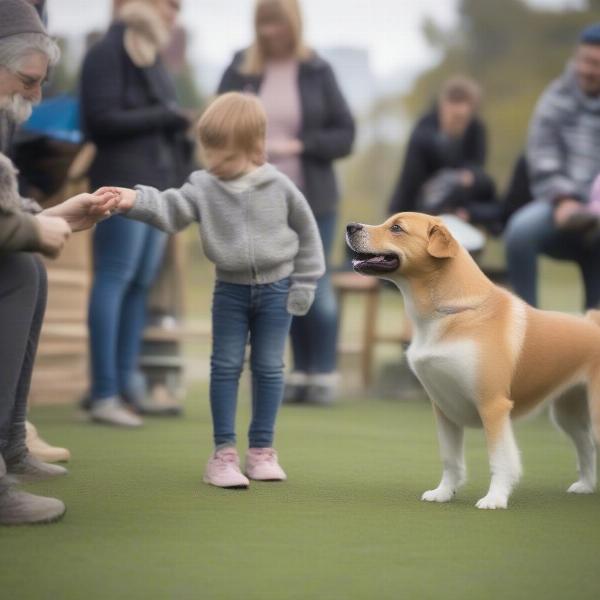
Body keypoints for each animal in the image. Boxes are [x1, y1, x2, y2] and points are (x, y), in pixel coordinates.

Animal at [344, 213, 596, 508]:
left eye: (397, 228)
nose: (350, 227)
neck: (449, 314)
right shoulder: (443, 407)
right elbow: (450, 459)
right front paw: (443, 493)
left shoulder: (493, 405)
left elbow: (500, 459)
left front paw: (495, 499)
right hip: (569, 413)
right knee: (586, 446)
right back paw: (585, 486)